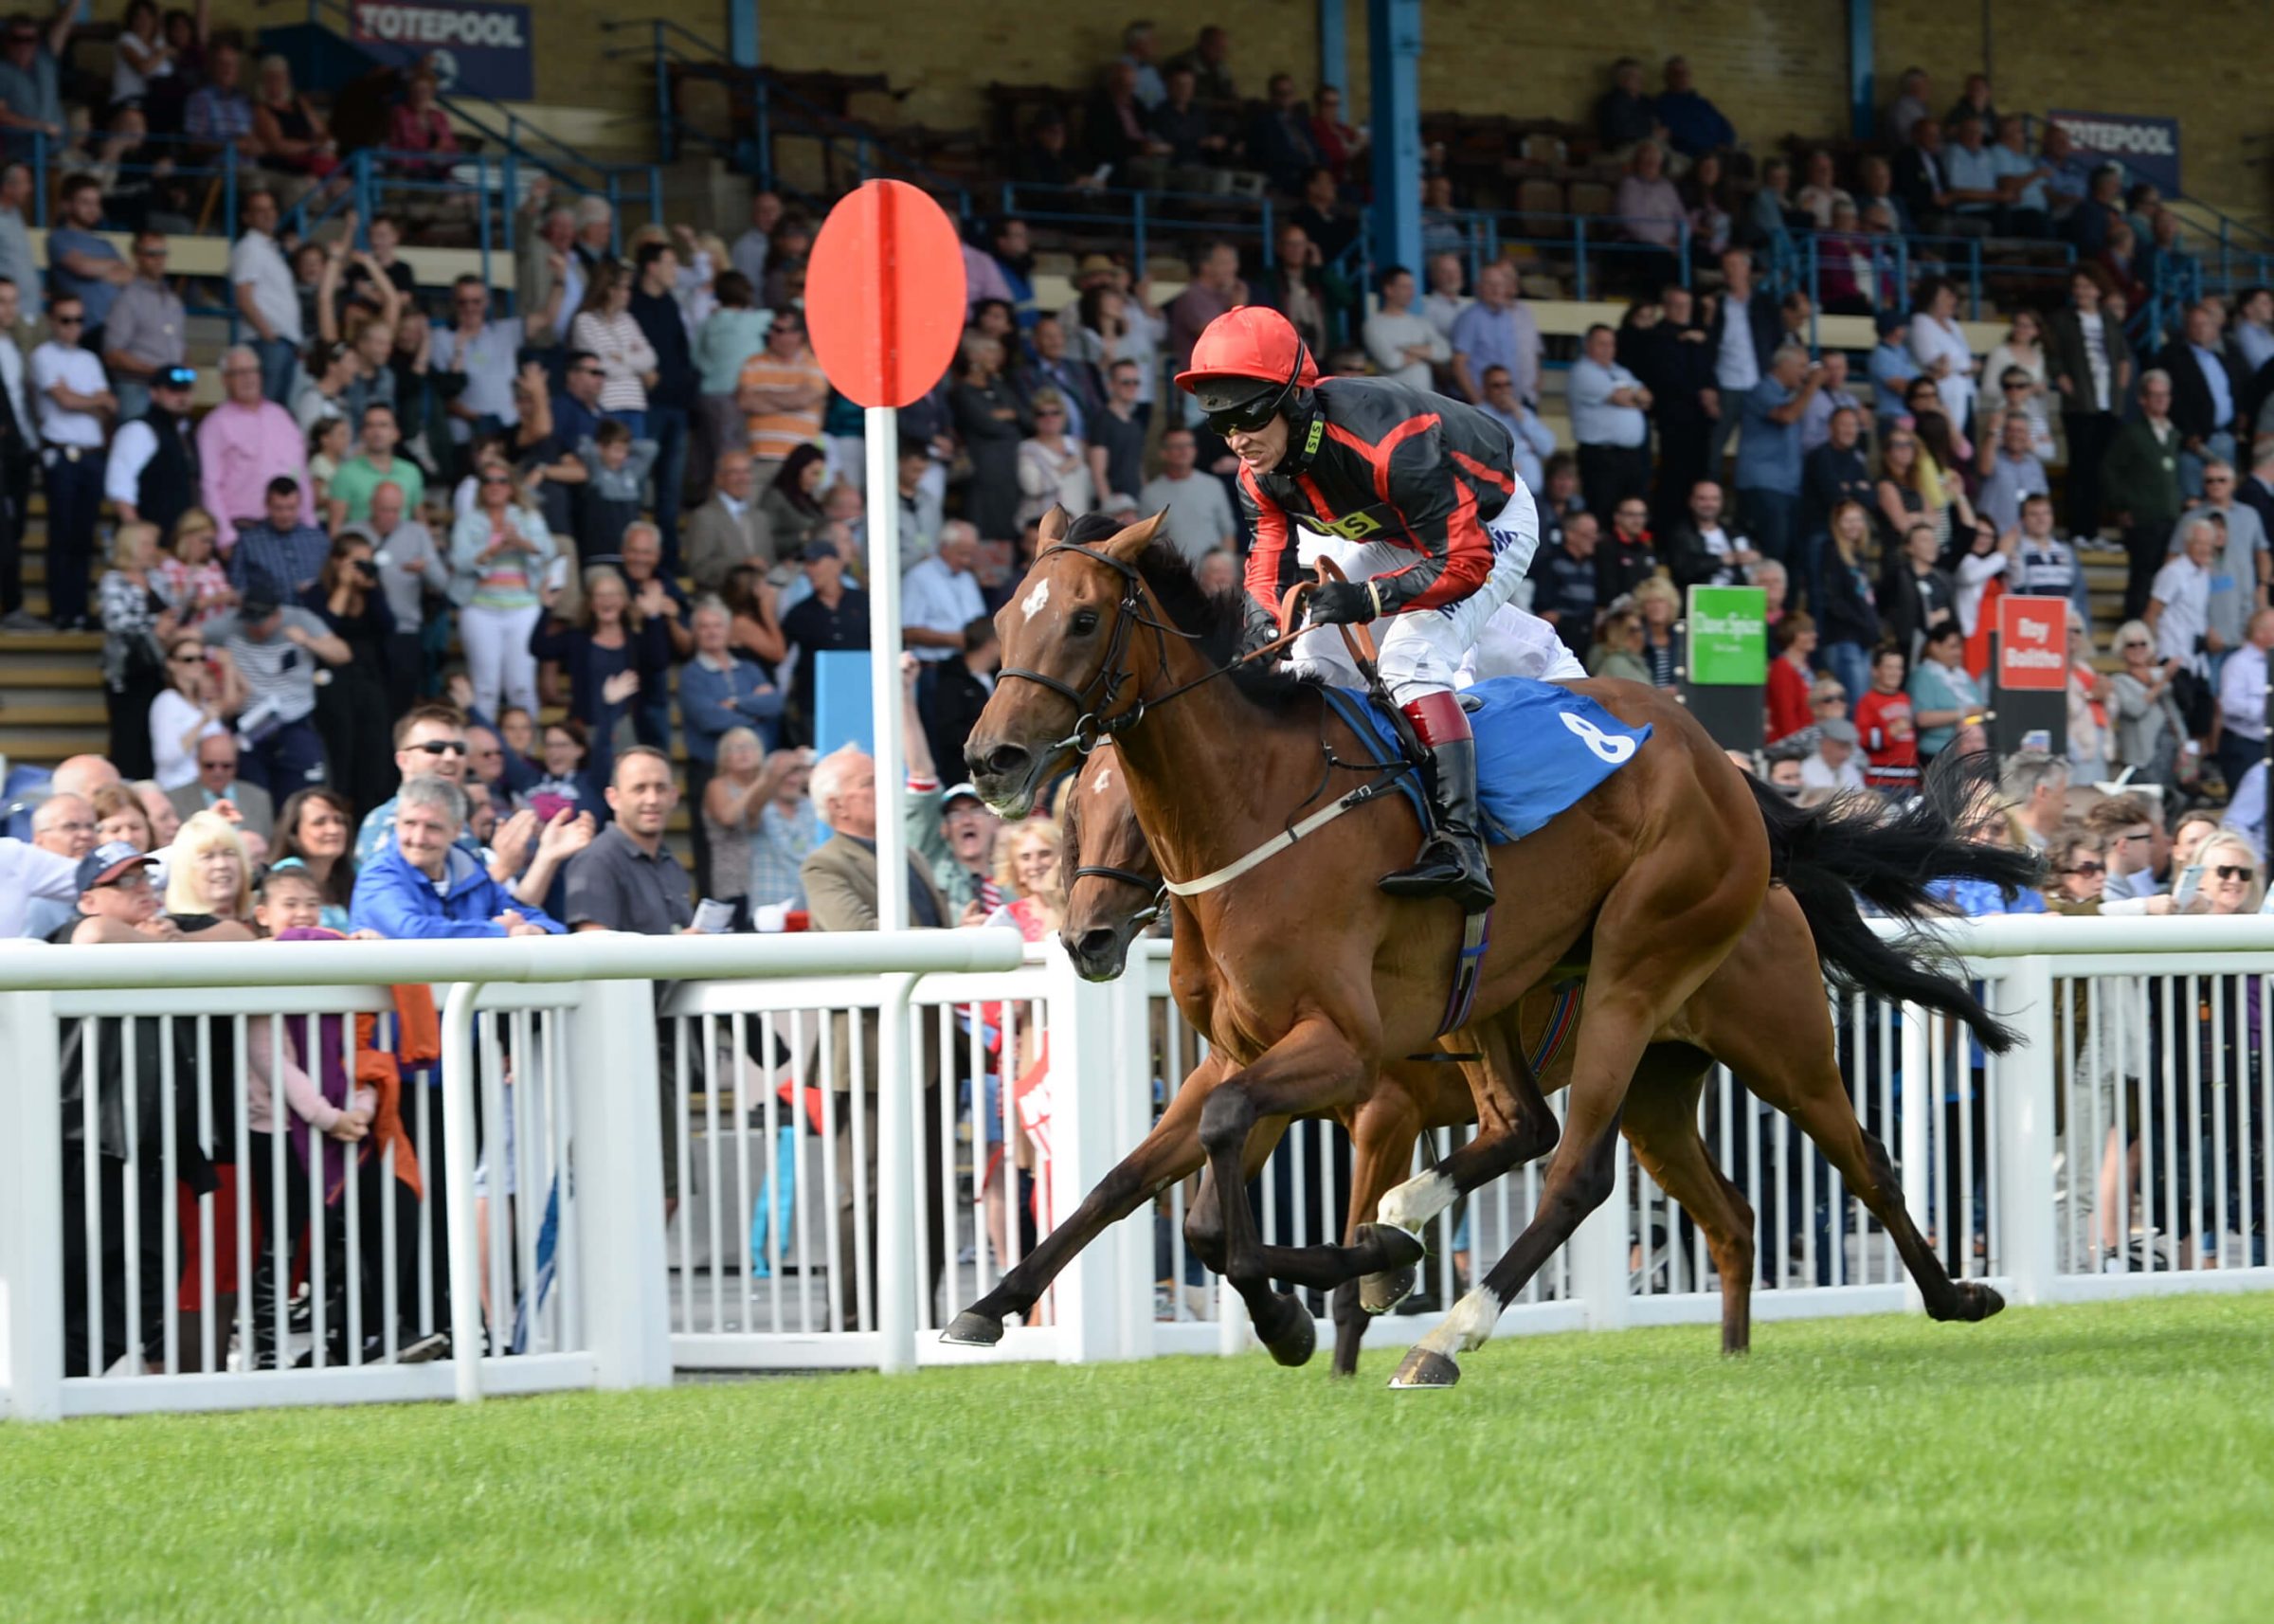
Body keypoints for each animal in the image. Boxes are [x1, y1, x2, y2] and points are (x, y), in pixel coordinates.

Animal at [968, 512, 2037, 1382]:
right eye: (1007, 620)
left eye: (1079, 621)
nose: (991, 758)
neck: (1257, 812)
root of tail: (1738, 787)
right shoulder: (1244, 1047)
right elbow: (1150, 1190)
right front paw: (992, 1304)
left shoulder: (1351, 1060)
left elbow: (1238, 1172)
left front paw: (1333, 1295)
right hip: (1625, 1066)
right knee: (1663, 1185)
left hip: (1694, 999)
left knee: (1672, 1166)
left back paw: (1452, 1334)